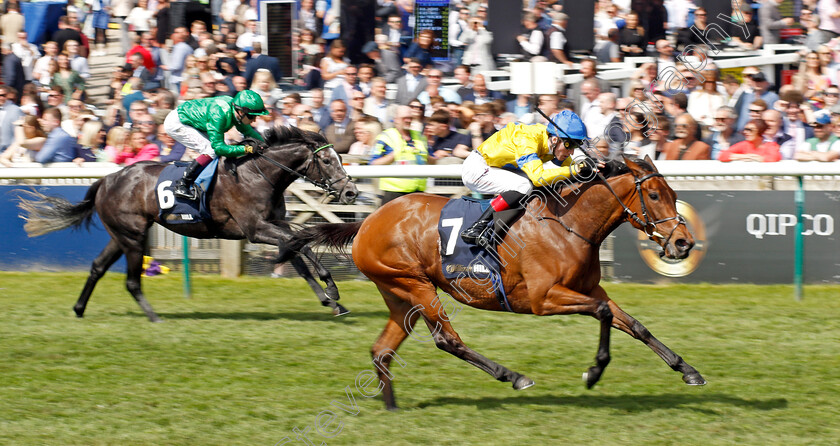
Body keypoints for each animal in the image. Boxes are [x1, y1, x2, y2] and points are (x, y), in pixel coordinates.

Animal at [17, 127, 358, 322]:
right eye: (327, 161)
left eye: (339, 158)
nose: (350, 192)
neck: (259, 174)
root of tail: (107, 179)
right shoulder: (255, 229)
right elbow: (300, 244)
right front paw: (331, 288)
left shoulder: (275, 224)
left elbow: (299, 252)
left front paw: (331, 301)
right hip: (133, 237)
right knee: (131, 280)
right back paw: (154, 317)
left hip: (121, 234)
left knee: (98, 267)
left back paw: (79, 309)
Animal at [304, 155, 708, 410]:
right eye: (653, 195)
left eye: (674, 194)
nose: (683, 243)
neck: (568, 223)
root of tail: (367, 222)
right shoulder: (545, 299)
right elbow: (603, 313)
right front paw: (594, 372)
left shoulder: (590, 288)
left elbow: (635, 325)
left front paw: (688, 371)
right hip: (415, 285)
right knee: (447, 339)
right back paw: (513, 376)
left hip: (401, 296)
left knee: (382, 351)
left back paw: (392, 408)